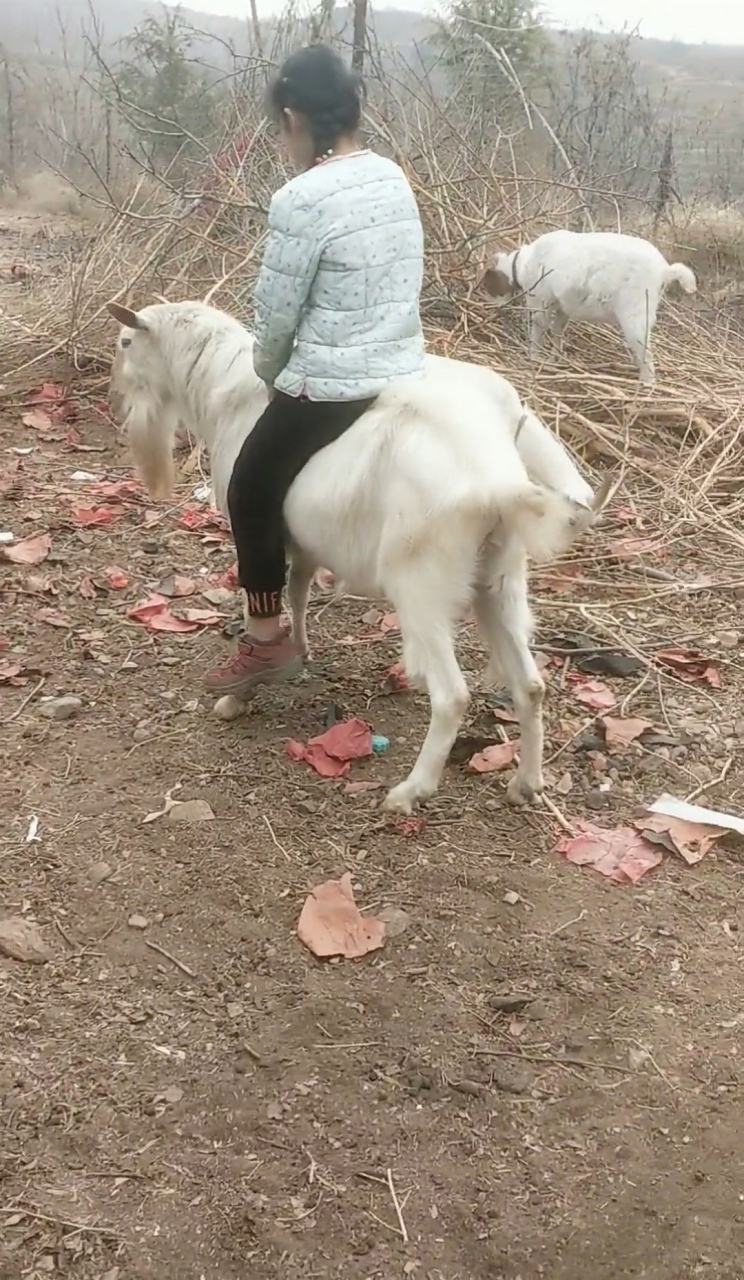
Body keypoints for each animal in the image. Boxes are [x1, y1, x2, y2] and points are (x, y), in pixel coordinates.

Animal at [110, 302, 609, 808]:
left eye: (126, 342)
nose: (115, 400)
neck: (224, 391)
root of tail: (498, 484)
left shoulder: (254, 519)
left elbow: (263, 593)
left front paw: (240, 689)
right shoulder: (305, 538)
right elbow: (298, 590)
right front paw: (300, 651)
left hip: (421, 586)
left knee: (452, 695)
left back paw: (410, 790)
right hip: (499, 578)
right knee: (531, 685)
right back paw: (526, 783)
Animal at [481, 230, 696, 386]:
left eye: (489, 287)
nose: (493, 309)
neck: (525, 263)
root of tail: (664, 270)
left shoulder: (541, 302)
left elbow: (537, 332)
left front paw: (534, 359)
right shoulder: (563, 308)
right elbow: (558, 332)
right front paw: (553, 360)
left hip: (635, 318)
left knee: (647, 356)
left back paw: (646, 385)